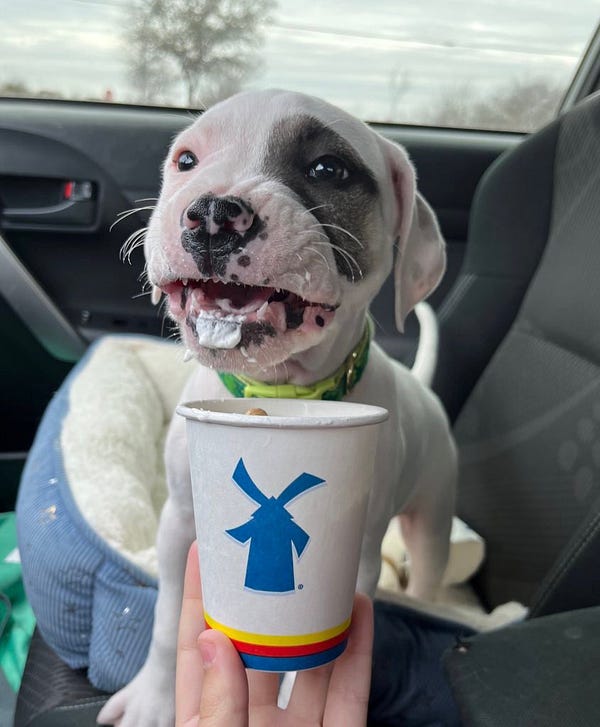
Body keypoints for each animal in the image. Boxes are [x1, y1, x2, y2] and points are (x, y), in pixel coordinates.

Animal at [97, 89, 454, 727]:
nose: (213, 213)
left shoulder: (362, 553)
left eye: (329, 169)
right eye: (185, 161)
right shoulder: (178, 522)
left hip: (435, 512)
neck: (282, 396)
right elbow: (166, 620)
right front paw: (154, 699)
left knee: (430, 567)